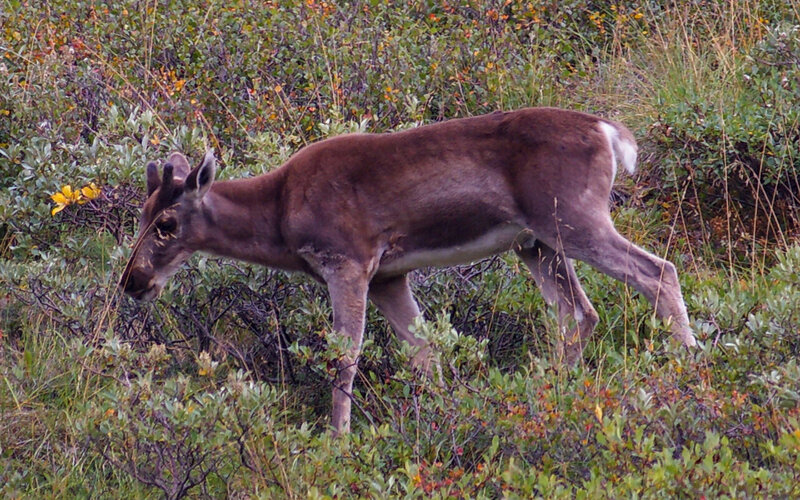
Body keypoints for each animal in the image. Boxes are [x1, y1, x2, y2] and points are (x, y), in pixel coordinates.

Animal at [120, 107, 696, 434]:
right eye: (141, 215)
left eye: (167, 223)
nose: (132, 281)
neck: (281, 216)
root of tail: (610, 133)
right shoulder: (387, 276)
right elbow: (424, 352)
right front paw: (443, 417)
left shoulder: (348, 259)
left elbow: (345, 358)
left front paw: (337, 441)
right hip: (536, 242)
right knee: (580, 312)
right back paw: (552, 393)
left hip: (573, 216)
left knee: (658, 271)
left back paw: (691, 371)